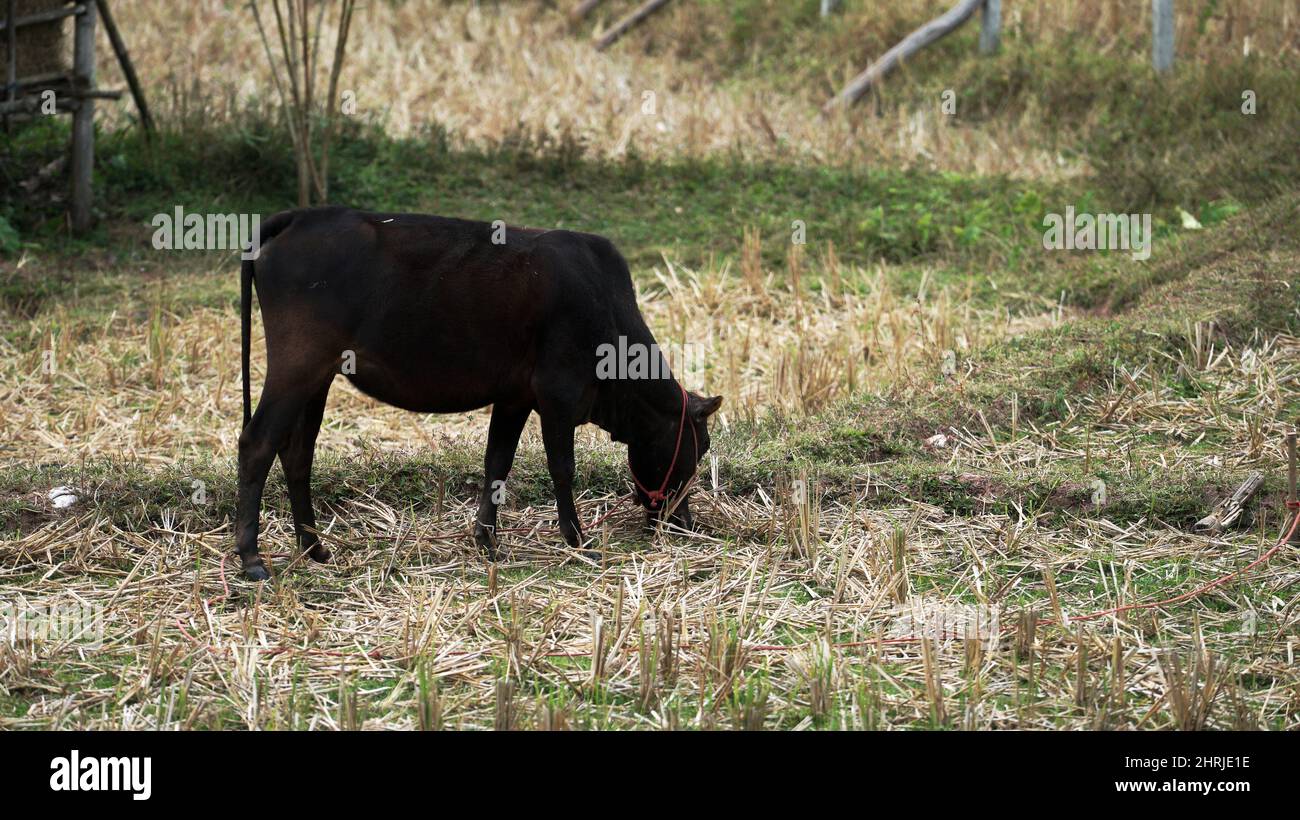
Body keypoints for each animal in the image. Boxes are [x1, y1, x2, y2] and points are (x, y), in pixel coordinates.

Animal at [236, 207, 723, 580]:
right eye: (699, 447)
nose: (685, 524)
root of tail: (303, 215)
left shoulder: (515, 396)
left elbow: (497, 464)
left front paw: (486, 540)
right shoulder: (558, 393)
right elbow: (562, 467)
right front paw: (578, 540)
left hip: (317, 377)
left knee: (298, 452)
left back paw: (314, 547)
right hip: (296, 365)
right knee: (257, 442)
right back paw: (252, 558)